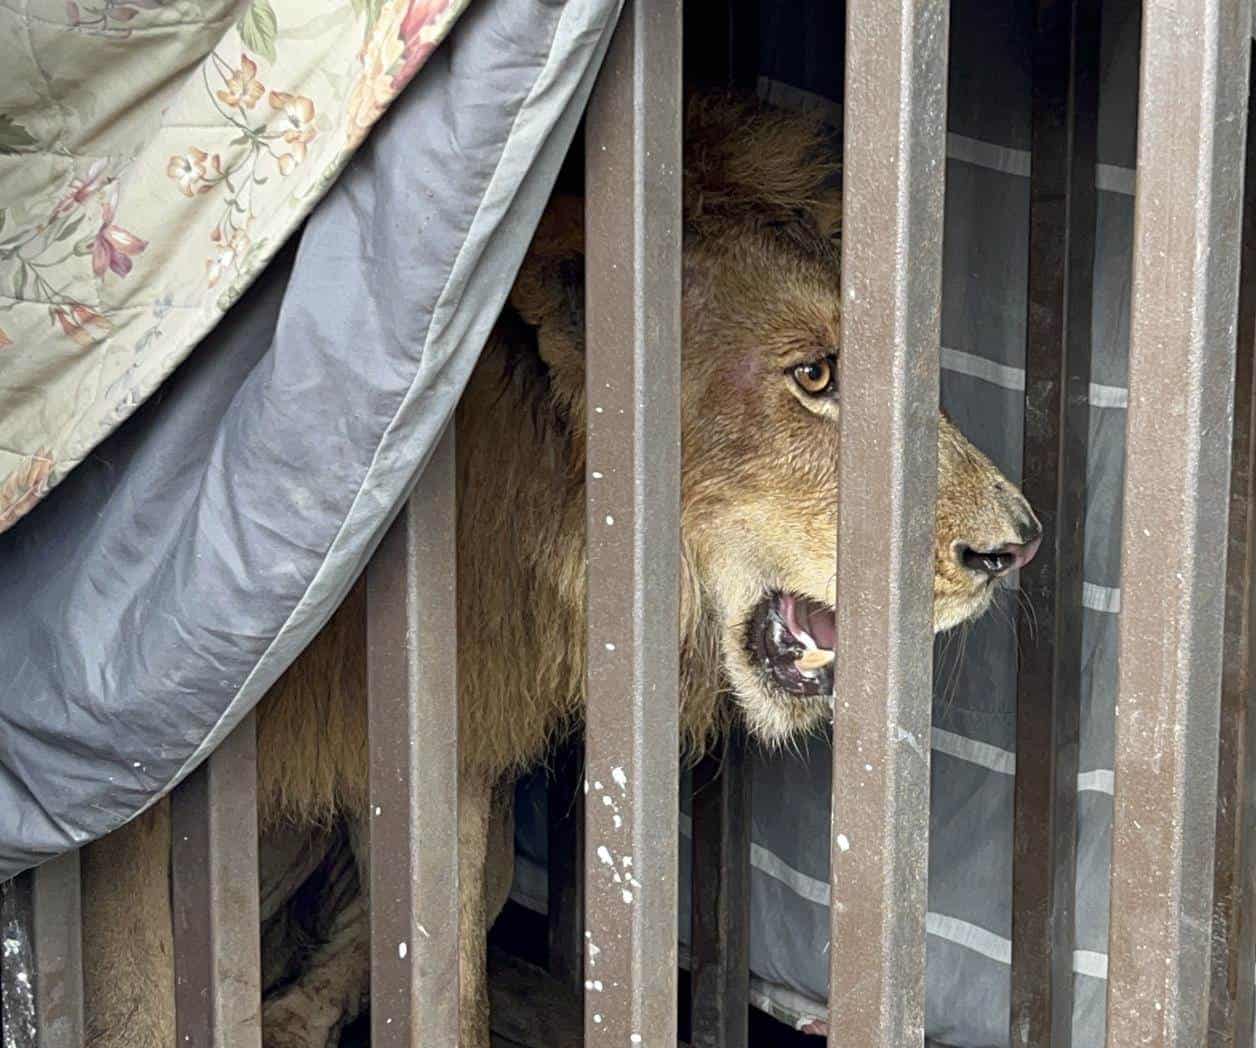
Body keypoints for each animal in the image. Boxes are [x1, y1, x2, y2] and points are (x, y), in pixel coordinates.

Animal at [77, 92, 1041, 1048]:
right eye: (812, 373)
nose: (1016, 547)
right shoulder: (128, 781)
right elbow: (135, 1003)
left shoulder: (450, 730)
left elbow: (444, 977)